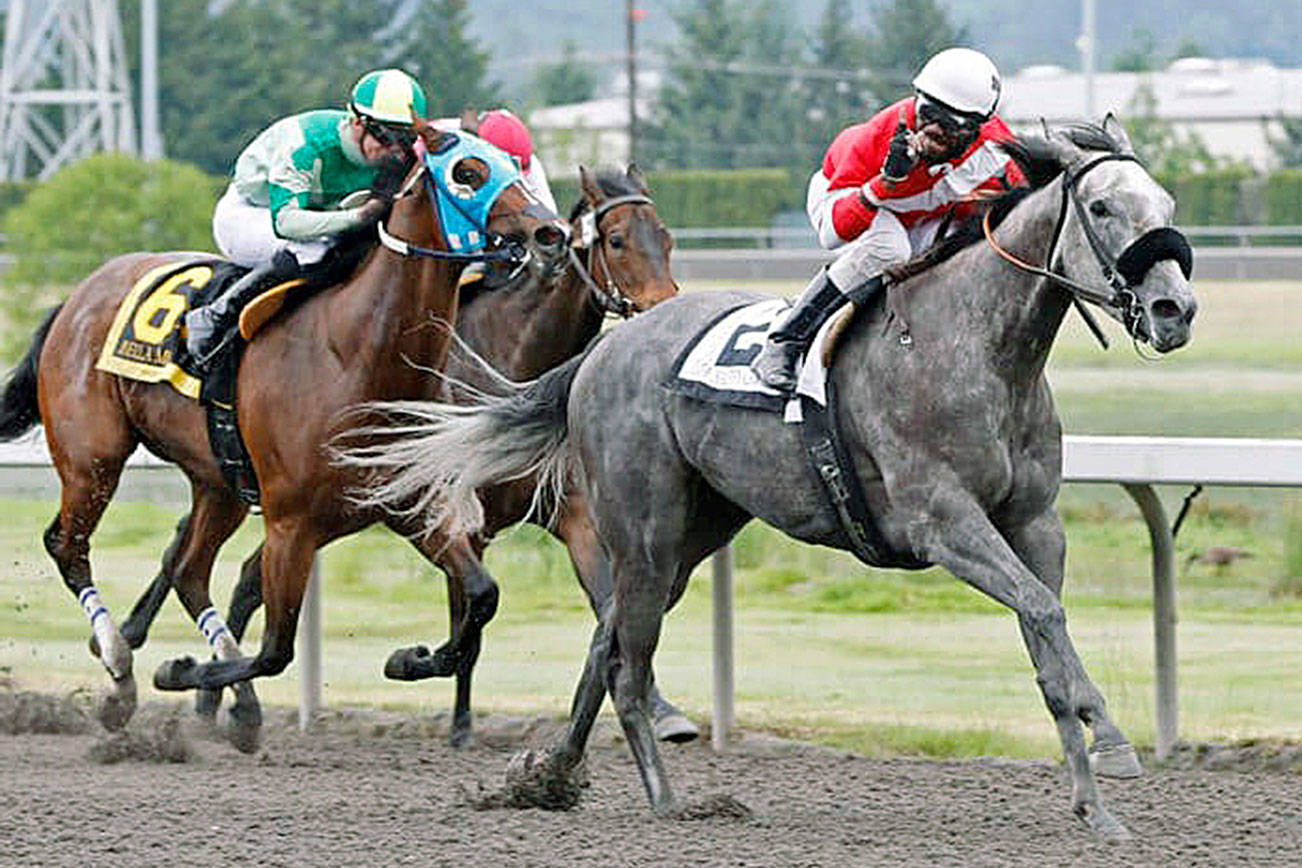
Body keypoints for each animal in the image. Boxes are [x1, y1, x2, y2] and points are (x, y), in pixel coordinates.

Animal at [0, 119, 570, 749]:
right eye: (467, 172)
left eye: (514, 166)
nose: (552, 234)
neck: (353, 352)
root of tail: (78, 294)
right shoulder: (292, 524)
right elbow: (275, 650)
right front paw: (180, 671)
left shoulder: (408, 502)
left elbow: (481, 596)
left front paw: (411, 658)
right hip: (93, 457)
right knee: (68, 545)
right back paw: (122, 671)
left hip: (217, 481)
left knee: (188, 570)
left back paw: (228, 699)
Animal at [190, 164, 697, 749]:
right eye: (616, 240)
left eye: (667, 239)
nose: (664, 316)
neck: (509, 364)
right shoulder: (458, 515)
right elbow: (470, 624)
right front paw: (458, 724)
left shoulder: (571, 514)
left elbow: (605, 601)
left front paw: (663, 709)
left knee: (251, 575)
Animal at [338, 119, 1197, 838]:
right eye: (1102, 207)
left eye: (1164, 203)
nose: (1174, 308)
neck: (977, 349)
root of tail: (603, 350)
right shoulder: (944, 522)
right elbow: (1045, 614)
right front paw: (1113, 740)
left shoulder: (1032, 523)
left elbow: (1045, 635)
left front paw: (1096, 799)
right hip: (646, 528)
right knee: (626, 661)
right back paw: (666, 799)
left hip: (697, 527)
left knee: (605, 639)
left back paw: (551, 777)